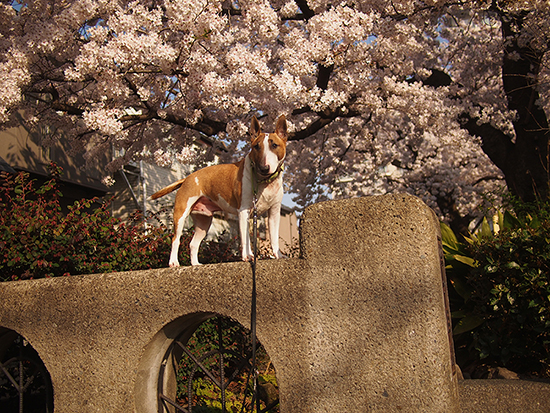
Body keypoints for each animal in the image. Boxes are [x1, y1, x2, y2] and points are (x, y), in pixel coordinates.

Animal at [151, 114, 288, 266]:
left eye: (274, 145)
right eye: (256, 146)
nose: (264, 168)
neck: (265, 181)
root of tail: (187, 178)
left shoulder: (274, 212)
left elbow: (274, 237)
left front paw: (278, 255)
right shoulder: (244, 210)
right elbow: (246, 238)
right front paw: (248, 256)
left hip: (204, 221)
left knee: (193, 244)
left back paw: (196, 264)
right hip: (181, 213)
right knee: (176, 239)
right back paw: (174, 262)